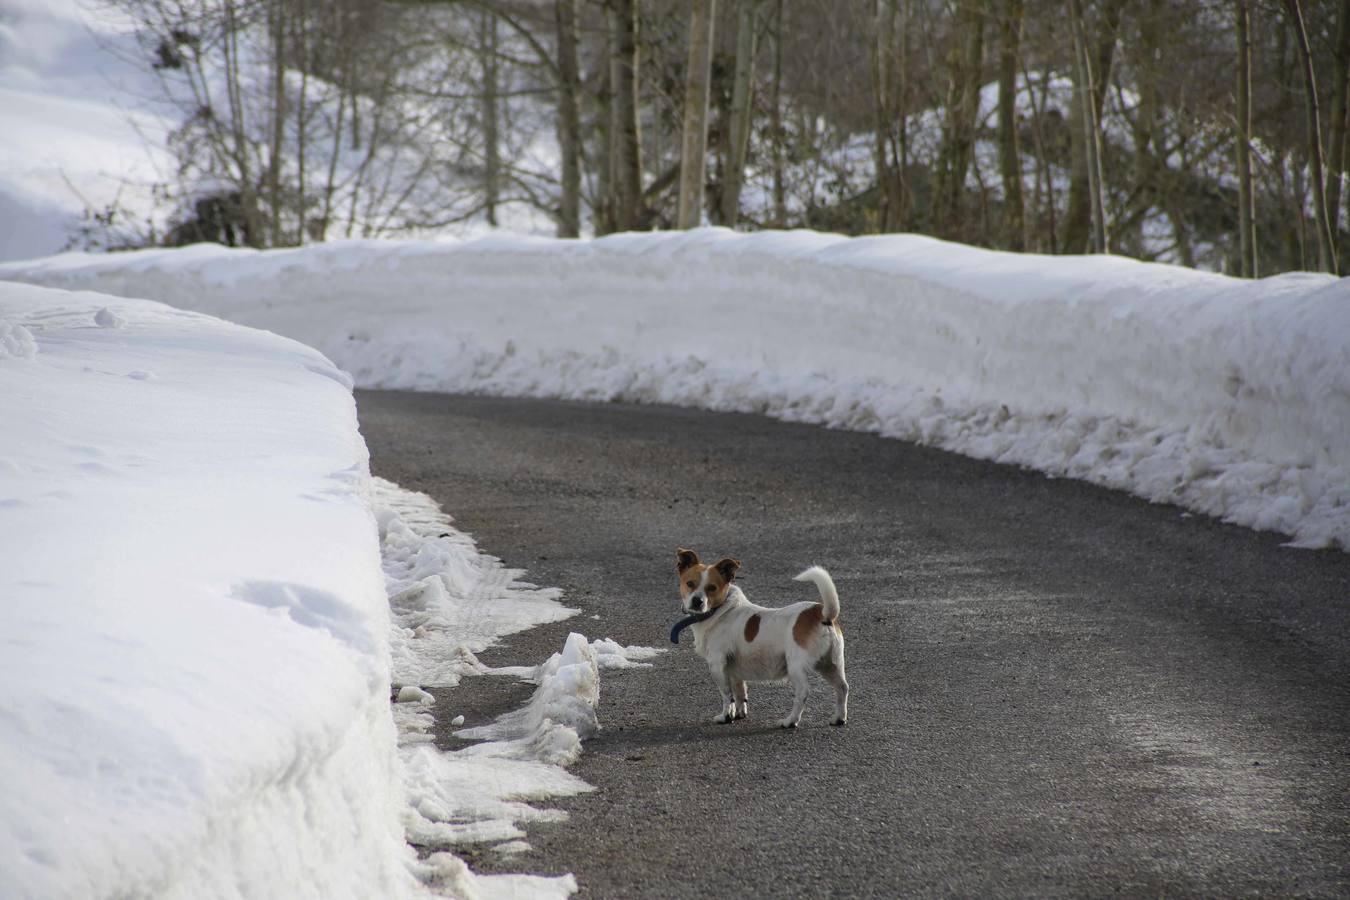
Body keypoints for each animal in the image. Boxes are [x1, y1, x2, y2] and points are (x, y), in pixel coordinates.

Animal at [672, 545, 847, 728]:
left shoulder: (717, 665)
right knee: (842, 687)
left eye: (711, 587)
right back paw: (839, 718)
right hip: (831, 664)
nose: (697, 601)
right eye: (690, 584)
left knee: (803, 692)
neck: (721, 610)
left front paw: (726, 716)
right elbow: (740, 693)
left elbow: (727, 695)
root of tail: (821, 613)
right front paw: (739, 714)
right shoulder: (733, 670)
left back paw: (790, 721)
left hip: (796, 666)